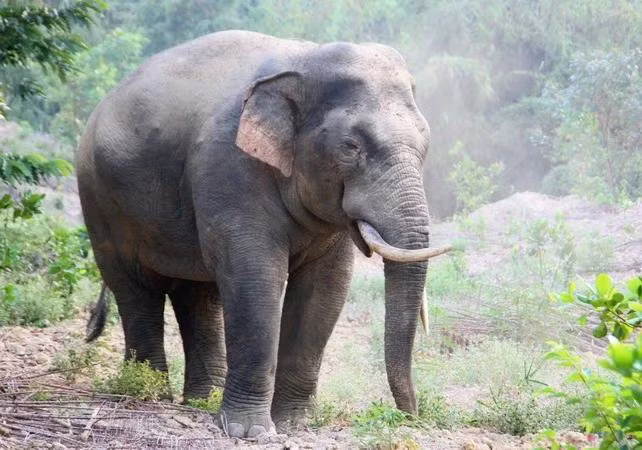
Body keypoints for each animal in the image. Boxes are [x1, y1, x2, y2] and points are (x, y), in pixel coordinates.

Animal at [78, 30, 450, 438]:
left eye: (425, 144)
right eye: (351, 147)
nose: (410, 414)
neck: (305, 58)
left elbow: (327, 286)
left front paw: (295, 423)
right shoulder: (230, 166)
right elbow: (255, 278)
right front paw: (249, 432)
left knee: (197, 293)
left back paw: (202, 400)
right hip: (99, 199)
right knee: (136, 289)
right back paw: (148, 393)